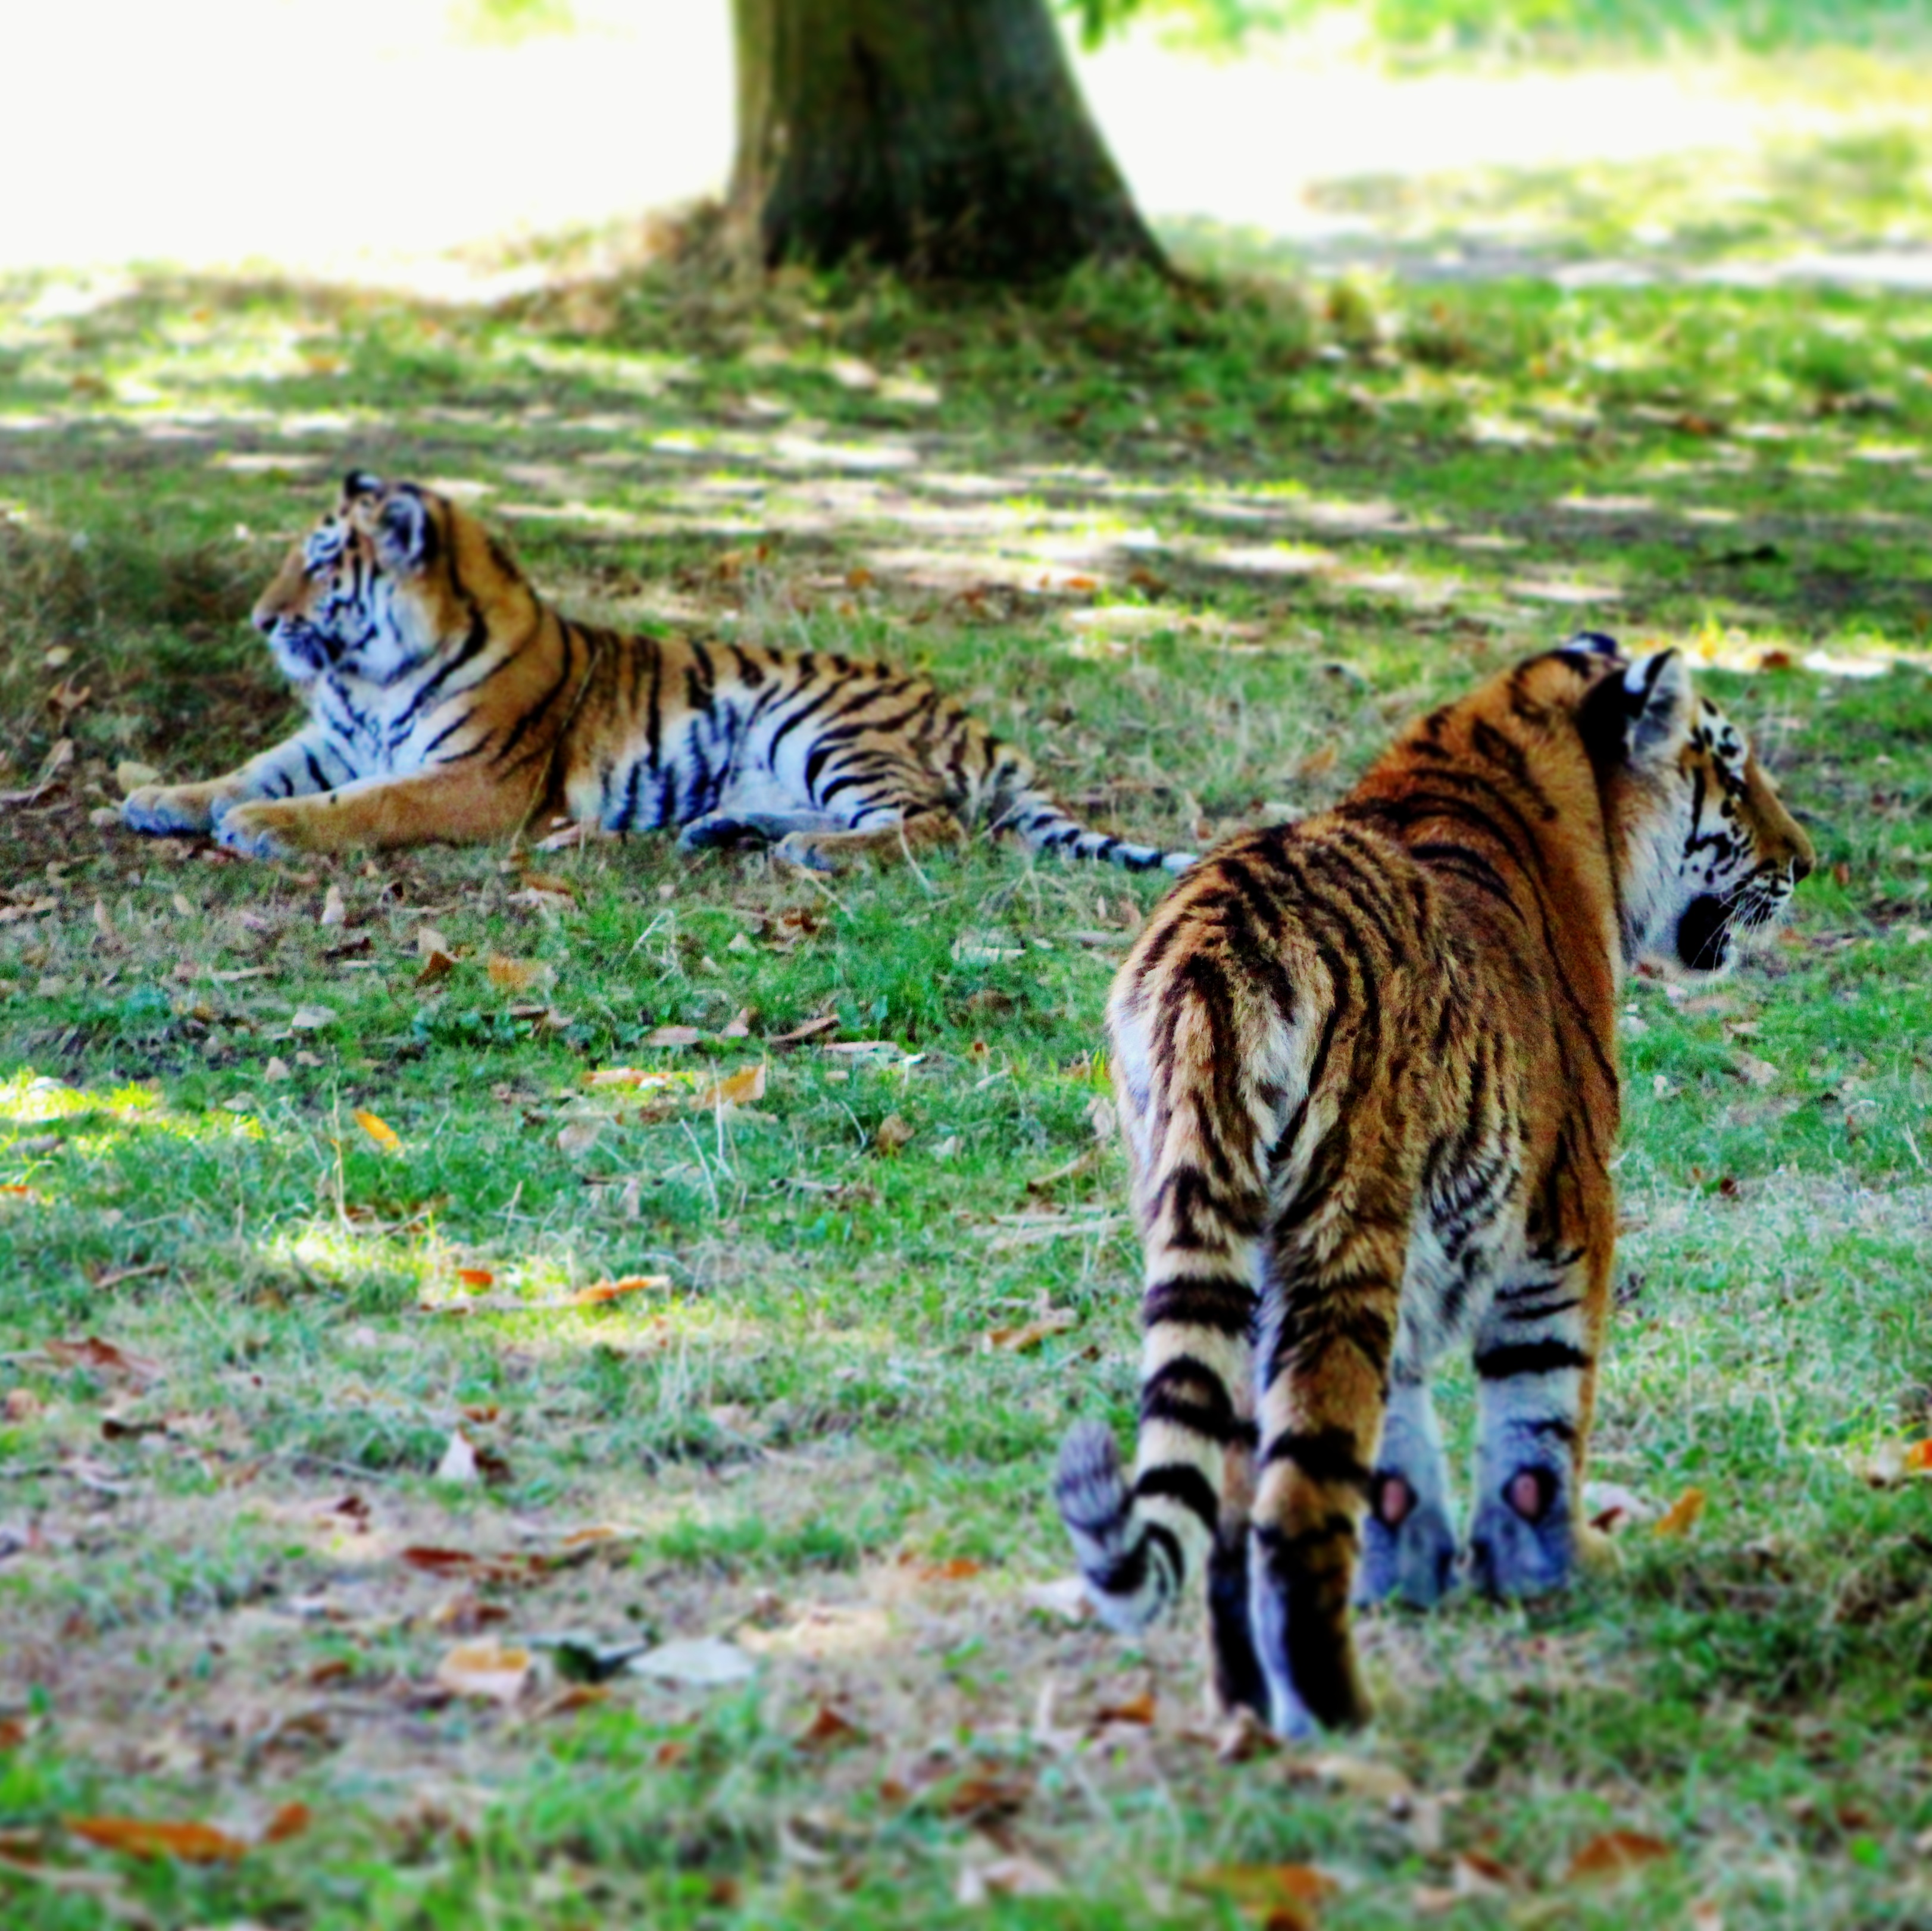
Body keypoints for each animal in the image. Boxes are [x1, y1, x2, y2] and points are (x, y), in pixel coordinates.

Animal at [120, 472, 1197, 876]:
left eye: (319, 563)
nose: (260, 619)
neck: (371, 676)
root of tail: (970, 721)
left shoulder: (477, 781)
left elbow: (369, 804)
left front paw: (264, 828)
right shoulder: (333, 737)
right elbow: (248, 769)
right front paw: (163, 798)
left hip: (827, 726)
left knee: (929, 823)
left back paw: (813, 853)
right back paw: (731, 829)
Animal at [1055, 634, 1812, 1738]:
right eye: (1729, 766)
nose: (1805, 863)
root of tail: (1216, 945)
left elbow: (1400, 1452)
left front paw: (1415, 1573)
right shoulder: (1567, 1205)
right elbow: (1540, 1415)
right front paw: (1550, 1570)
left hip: (1214, 1236)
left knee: (1230, 1506)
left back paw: (1247, 1710)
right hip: (1342, 1229)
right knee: (1293, 1508)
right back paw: (1338, 1721)